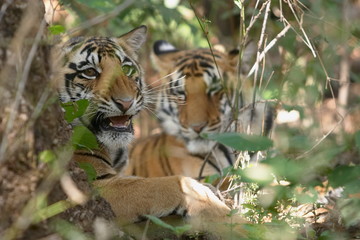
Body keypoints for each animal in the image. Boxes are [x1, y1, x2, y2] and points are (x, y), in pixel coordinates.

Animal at [53, 25, 245, 235]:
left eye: (126, 69)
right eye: (89, 72)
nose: (126, 102)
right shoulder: (91, 183)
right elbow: (171, 184)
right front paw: (232, 221)